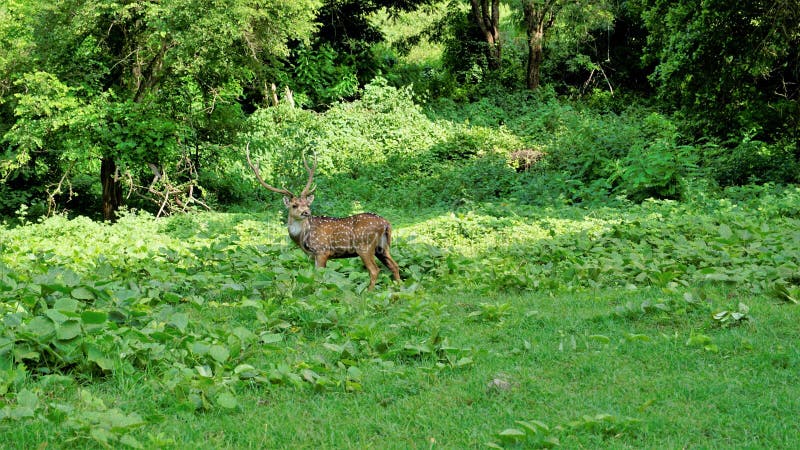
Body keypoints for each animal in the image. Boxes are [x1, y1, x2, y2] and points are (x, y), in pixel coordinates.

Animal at [245, 146, 400, 290]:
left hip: (364, 246)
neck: (303, 237)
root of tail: (386, 223)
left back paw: (368, 292)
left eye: (307, 203)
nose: (306, 212)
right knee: (395, 265)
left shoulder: (322, 251)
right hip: (382, 247)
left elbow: (320, 277)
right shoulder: (313, 255)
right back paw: (398, 288)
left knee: (375, 270)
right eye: (295, 205)